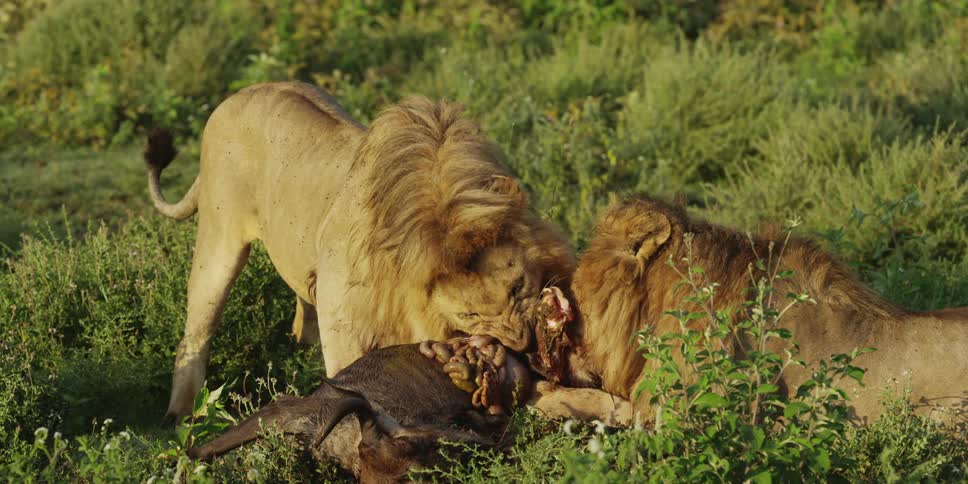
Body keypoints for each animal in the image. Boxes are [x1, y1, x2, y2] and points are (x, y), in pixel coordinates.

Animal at [145, 82, 575, 419]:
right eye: (469, 315)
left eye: (518, 287)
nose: (520, 345)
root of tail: (234, 96)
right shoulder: (344, 320)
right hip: (218, 243)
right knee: (194, 335)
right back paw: (181, 417)